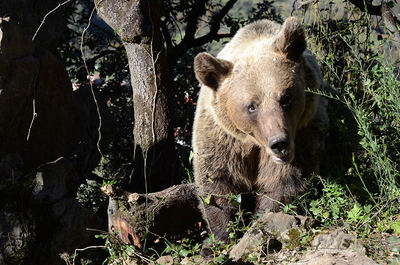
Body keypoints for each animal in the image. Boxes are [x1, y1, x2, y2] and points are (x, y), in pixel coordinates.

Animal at [191, 16, 328, 242]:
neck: (255, 142)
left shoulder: (301, 135)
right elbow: (218, 183)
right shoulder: (224, 138)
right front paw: (220, 237)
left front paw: (263, 220)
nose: (279, 143)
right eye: (251, 106)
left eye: (285, 97)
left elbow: (283, 182)